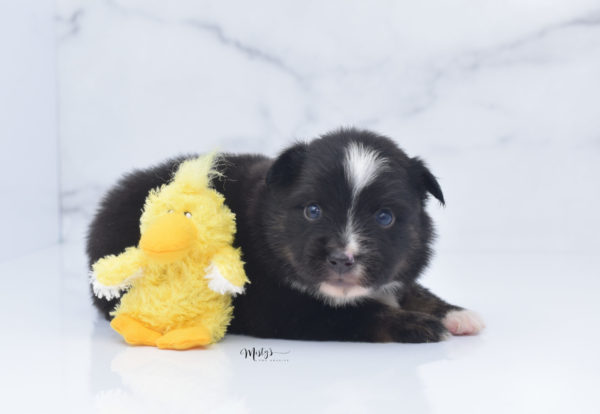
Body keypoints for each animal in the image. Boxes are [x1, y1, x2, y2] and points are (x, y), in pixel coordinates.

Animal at [88, 129, 482, 342]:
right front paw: (419, 325)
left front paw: (456, 314)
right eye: (313, 211)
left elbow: (412, 290)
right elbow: (362, 313)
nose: (343, 259)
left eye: (385, 218)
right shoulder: (281, 306)